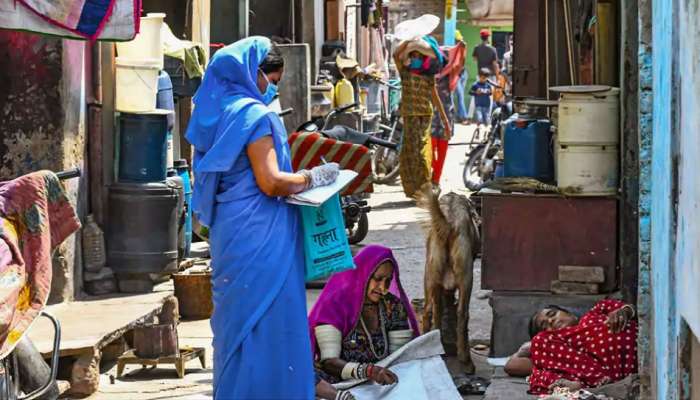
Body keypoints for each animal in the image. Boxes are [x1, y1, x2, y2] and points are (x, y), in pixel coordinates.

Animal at [416, 184, 482, 372]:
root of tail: (449, 223)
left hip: (429, 277)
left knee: (430, 312)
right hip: (467, 278)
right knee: (462, 314)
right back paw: (466, 360)